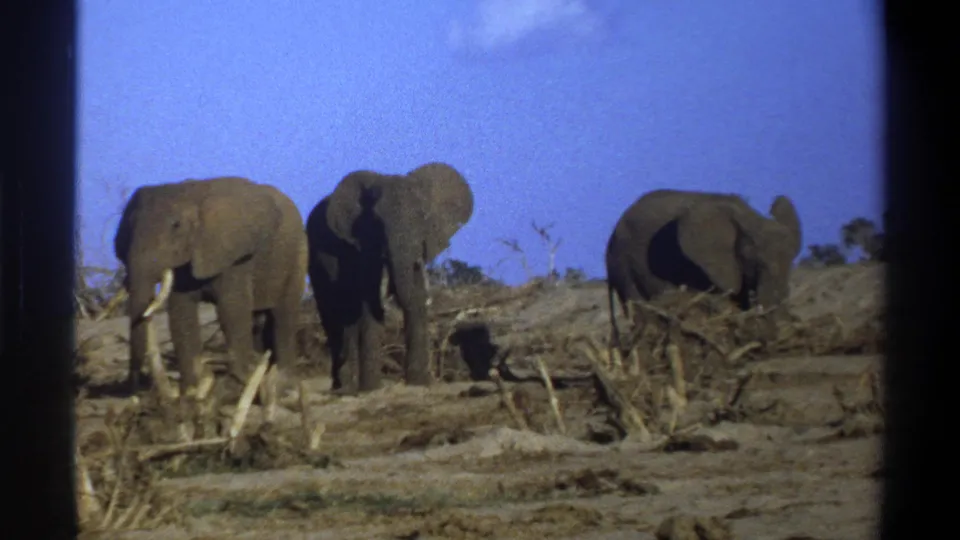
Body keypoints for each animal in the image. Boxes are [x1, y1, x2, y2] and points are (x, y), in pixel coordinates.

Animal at [113, 176, 308, 402]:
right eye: (128, 227)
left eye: (176, 226)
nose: (134, 389)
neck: (191, 193)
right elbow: (181, 313)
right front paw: (193, 391)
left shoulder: (235, 255)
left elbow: (231, 309)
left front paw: (239, 383)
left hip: (297, 255)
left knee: (284, 315)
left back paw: (285, 389)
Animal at [306, 162, 474, 394]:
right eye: (377, 222)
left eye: (423, 217)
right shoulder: (364, 246)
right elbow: (369, 302)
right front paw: (371, 389)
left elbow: (415, 295)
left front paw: (419, 383)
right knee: (333, 316)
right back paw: (344, 387)